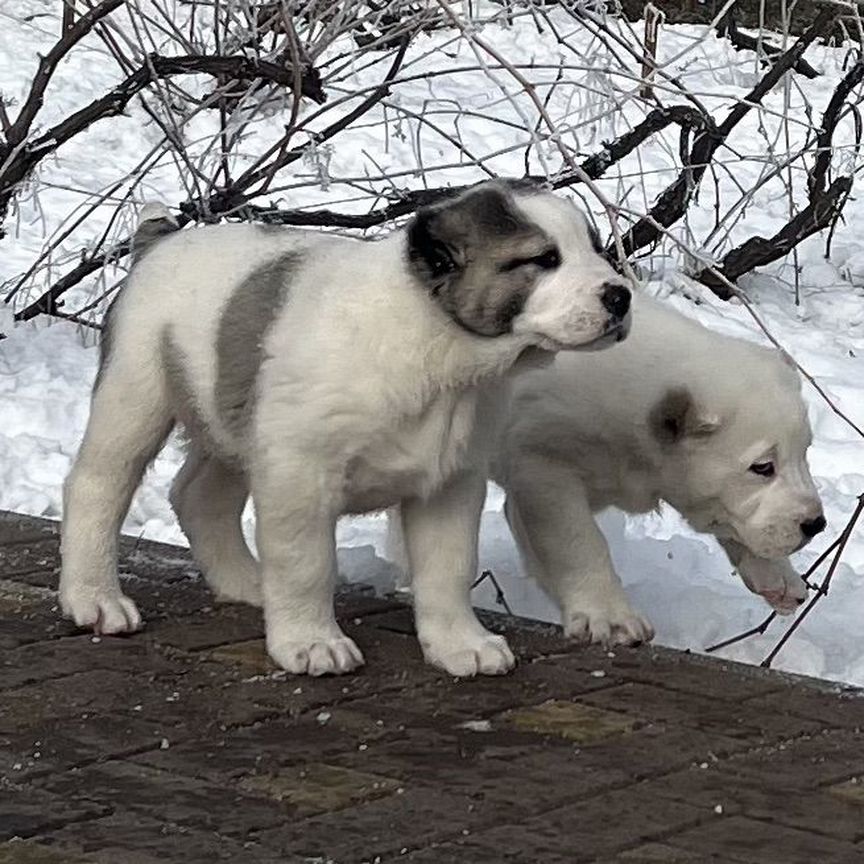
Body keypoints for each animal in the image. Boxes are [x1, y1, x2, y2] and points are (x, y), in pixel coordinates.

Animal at [57, 184, 632, 680]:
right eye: (543, 260)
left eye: (594, 250)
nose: (621, 296)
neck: (435, 345)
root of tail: (160, 241)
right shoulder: (299, 475)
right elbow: (307, 564)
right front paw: (312, 643)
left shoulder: (450, 482)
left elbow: (448, 568)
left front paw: (460, 644)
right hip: (135, 392)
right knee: (97, 486)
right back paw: (95, 598)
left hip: (235, 417)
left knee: (200, 496)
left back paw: (248, 582)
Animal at [492, 292, 824, 648]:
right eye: (762, 467)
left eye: (804, 453)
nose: (816, 525)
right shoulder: (543, 463)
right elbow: (579, 540)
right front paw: (609, 616)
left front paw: (778, 575)